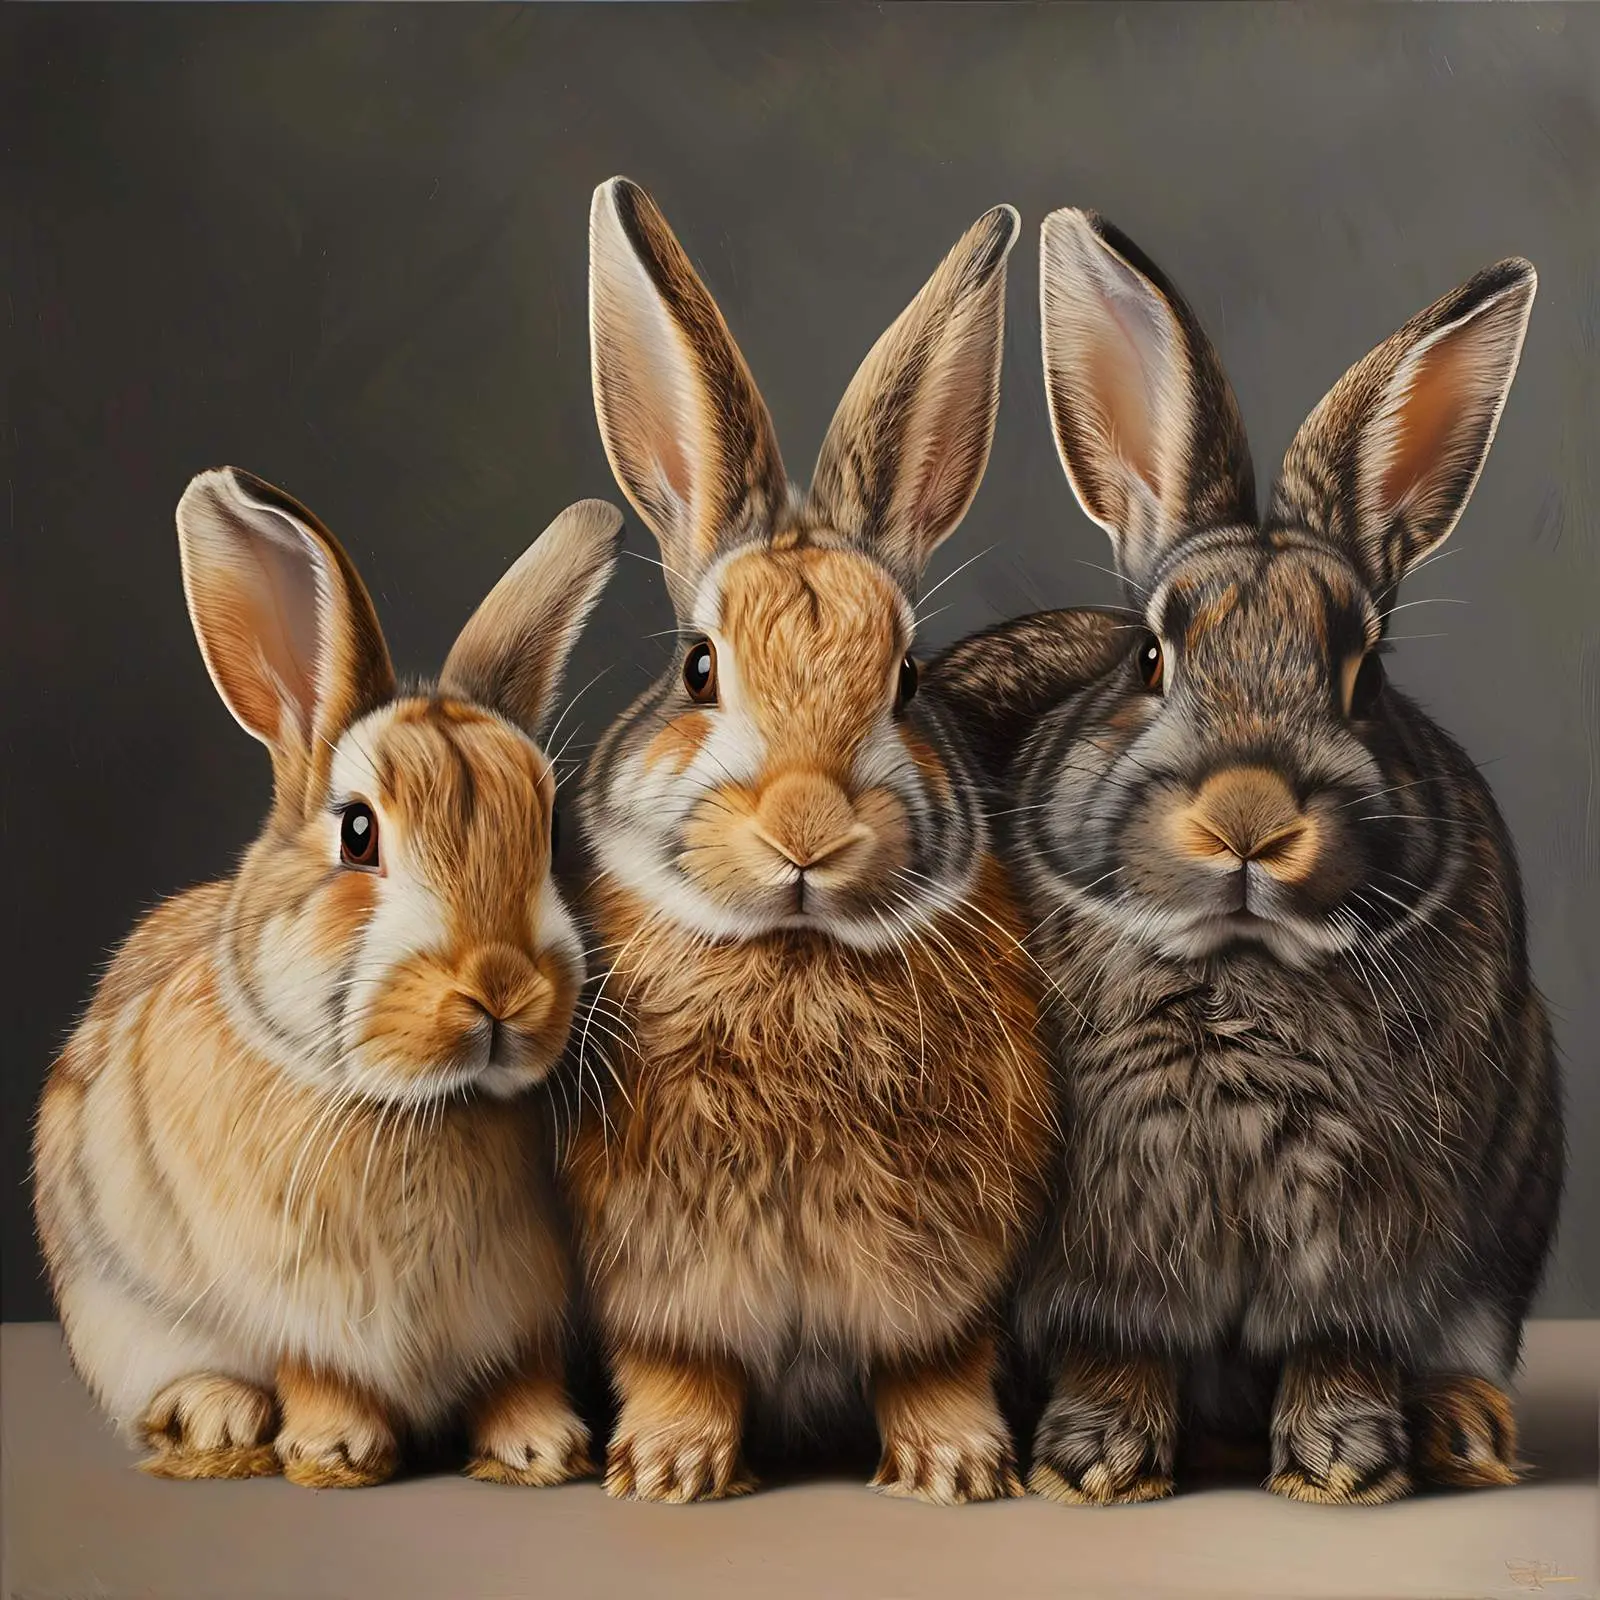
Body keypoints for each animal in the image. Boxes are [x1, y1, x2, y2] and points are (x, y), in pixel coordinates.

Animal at [32, 467, 623, 1488]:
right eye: (357, 832)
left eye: (549, 835)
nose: (502, 987)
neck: (422, 1108)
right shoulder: (292, 1307)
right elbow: (315, 1368)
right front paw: (336, 1448)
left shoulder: (526, 1310)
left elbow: (520, 1369)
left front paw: (542, 1444)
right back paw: (221, 1417)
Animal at [560, 177, 1057, 1505]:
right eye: (698, 668)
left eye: (906, 680)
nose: (806, 831)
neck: (793, 956)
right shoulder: (657, 1270)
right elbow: (679, 1363)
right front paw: (667, 1467)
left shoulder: (949, 1271)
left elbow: (934, 1362)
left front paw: (955, 1467)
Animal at [946, 211, 1562, 1506]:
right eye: (1148, 657)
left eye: (1364, 675)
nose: (1247, 817)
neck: (1236, 959)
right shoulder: (1104, 1234)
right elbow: (1116, 1337)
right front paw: (1094, 1459)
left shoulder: (1370, 1228)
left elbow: (1342, 1338)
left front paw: (1343, 1461)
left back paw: (1462, 1431)